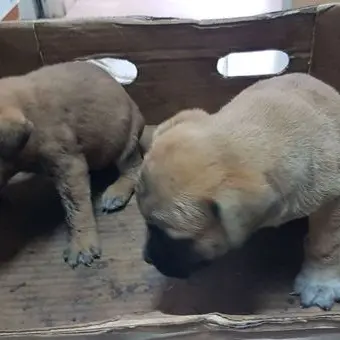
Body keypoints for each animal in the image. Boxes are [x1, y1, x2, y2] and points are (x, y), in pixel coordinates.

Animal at [0, 60, 145, 268]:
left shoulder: (67, 162)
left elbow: (76, 205)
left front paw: (82, 245)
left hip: (124, 138)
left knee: (132, 165)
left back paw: (116, 193)